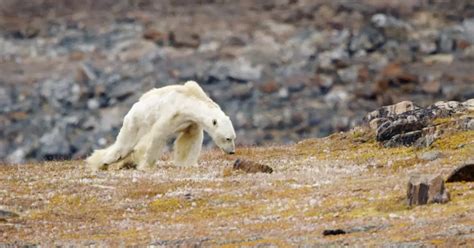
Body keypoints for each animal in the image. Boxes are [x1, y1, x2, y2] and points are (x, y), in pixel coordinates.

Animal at [85, 81, 237, 170]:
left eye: (233, 137)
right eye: (228, 138)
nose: (232, 151)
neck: (189, 100)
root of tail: (133, 107)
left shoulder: (190, 122)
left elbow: (189, 139)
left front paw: (186, 163)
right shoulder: (171, 113)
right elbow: (158, 135)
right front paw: (146, 165)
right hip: (135, 123)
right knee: (123, 146)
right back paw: (101, 162)